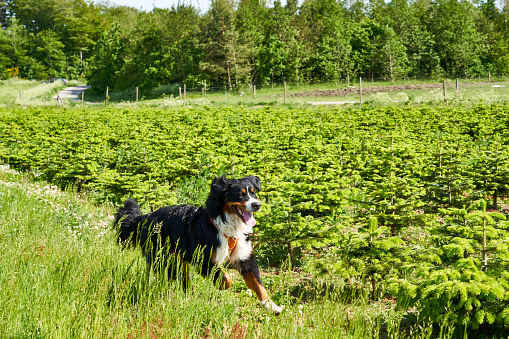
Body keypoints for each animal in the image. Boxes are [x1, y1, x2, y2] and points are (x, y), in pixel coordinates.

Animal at [113, 175, 282, 316]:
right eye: (241, 194)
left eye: (253, 193)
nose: (257, 204)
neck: (226, 225)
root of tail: (145, 217)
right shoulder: (203, 259)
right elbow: (225, 277)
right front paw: (221, 286)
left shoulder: (244, 257)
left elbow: (259, 285)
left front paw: (271, 306)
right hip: (164, 258)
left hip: (178, 261)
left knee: (183, 280)